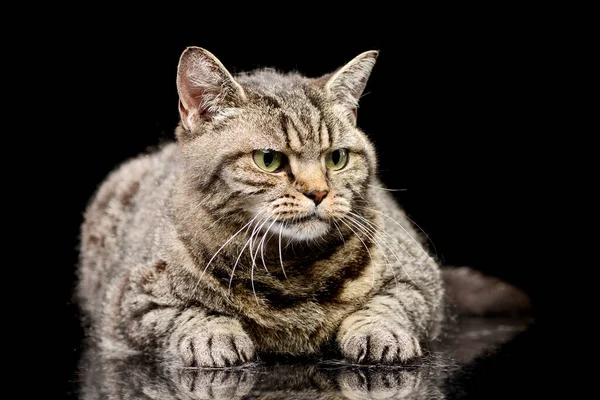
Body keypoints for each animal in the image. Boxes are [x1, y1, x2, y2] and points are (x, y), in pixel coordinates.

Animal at [75, 45, 524, 368]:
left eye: (336, 158)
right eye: (269, 160)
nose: (318, 192)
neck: (290, 268)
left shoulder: (421, 281)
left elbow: (389, 303)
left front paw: (381, 333)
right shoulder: (132, 302)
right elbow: (185, 313)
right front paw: (213, 336)